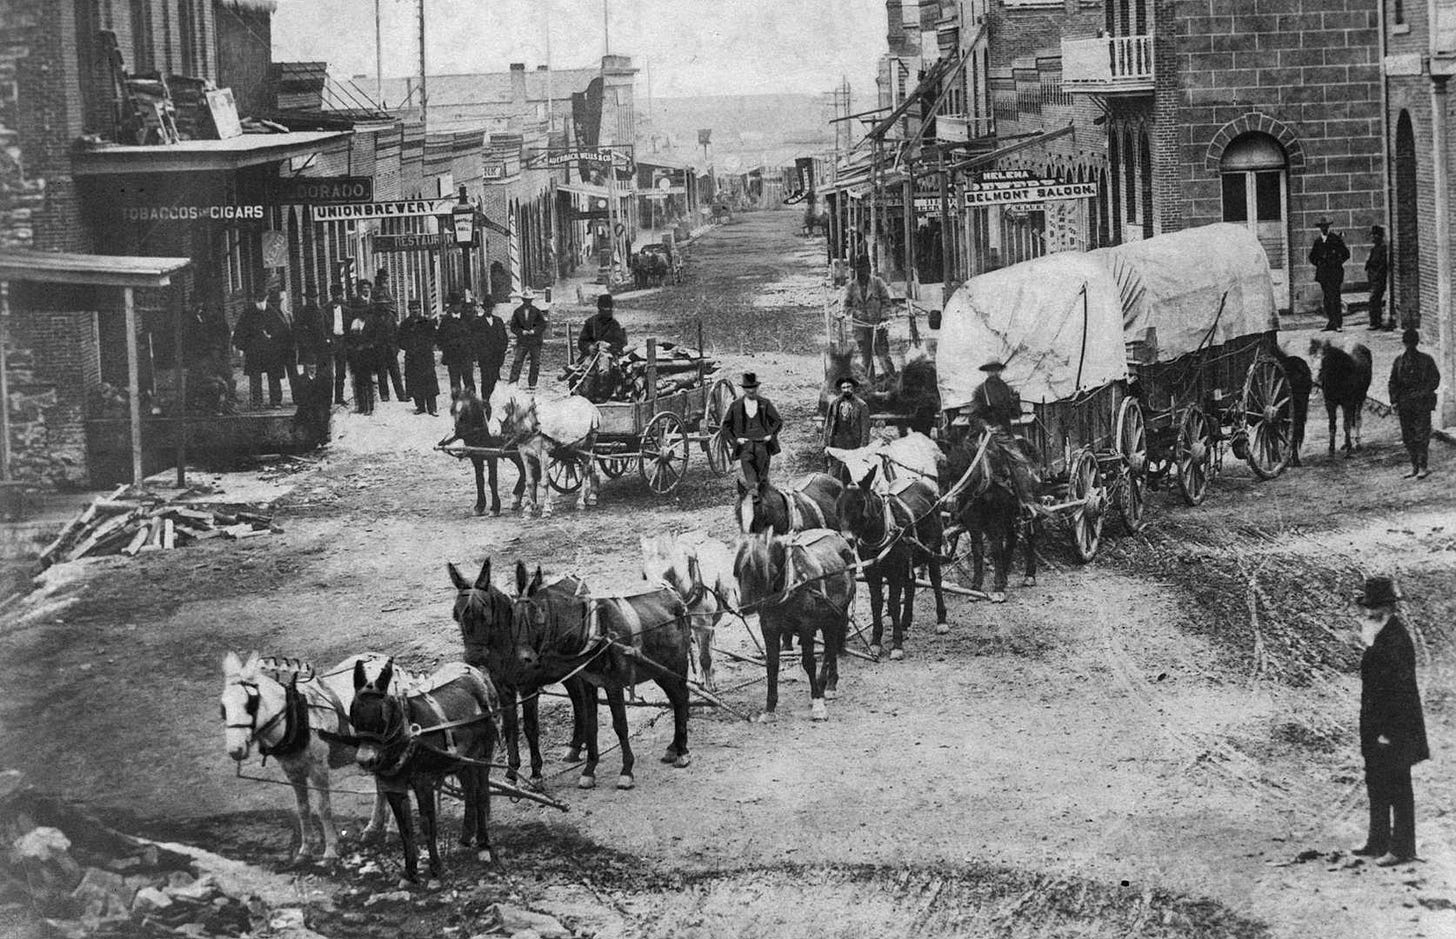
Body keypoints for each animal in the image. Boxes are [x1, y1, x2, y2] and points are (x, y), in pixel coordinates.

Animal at [216, 652, 410, 861]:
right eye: (223, 707)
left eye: (251, 704)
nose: (235, 749)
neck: (294, 717)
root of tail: (391, 663)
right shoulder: (292, 770)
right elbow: (302, 808)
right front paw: (306, 849)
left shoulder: (318, 768)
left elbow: (323, 808)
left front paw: (331, 850)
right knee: (381, 787)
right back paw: (373, 828)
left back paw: (392, 830)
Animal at [445, 559, 588, 786]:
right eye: (456, 615)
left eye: (484, 613)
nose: (474, 656)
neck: (508, 644)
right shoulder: (503, 688)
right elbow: (510, 727)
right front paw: (512, 772)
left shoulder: (528, 687)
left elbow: (530, 727)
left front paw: (536, 772)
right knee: (578, 696)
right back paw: (574, 748)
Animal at [512, 564, 693, 791]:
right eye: (514, 615)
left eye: (537, 617)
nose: (520, 662)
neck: (593, 630)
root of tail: (675, 594)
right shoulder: (588, 683)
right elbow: (591, 725)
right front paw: (589, 771)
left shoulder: (613, 684)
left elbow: (620, 725)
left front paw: (626, 771)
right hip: (659, 671)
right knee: (677, 699)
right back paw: (673, 748)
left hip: (676, 665)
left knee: (682, 699)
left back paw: (683, 751)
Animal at [733, 529, 856, 722]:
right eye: (737, 571)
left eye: (763, 570)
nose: (746, 608)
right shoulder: (769, 629)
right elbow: (772, 665)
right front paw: (769, 709)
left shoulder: (806, 628)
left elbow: (809, 663)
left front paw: (817, 704)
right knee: (831, 648)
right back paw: (827, 684)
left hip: (837, 614)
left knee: (830, 649)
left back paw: (827, 686)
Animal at [838, 468, 949, 658]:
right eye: (840, 501)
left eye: (861, 502)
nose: (848, 538)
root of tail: (920, 481)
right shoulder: (872, 573)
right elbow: (876, 604)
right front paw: (875, 642)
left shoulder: (894, 573)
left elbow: (894, 605)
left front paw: (897, 645)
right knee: (911, 583)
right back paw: (905, 622)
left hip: (933, 549)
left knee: (936, 580)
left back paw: (941, 621)